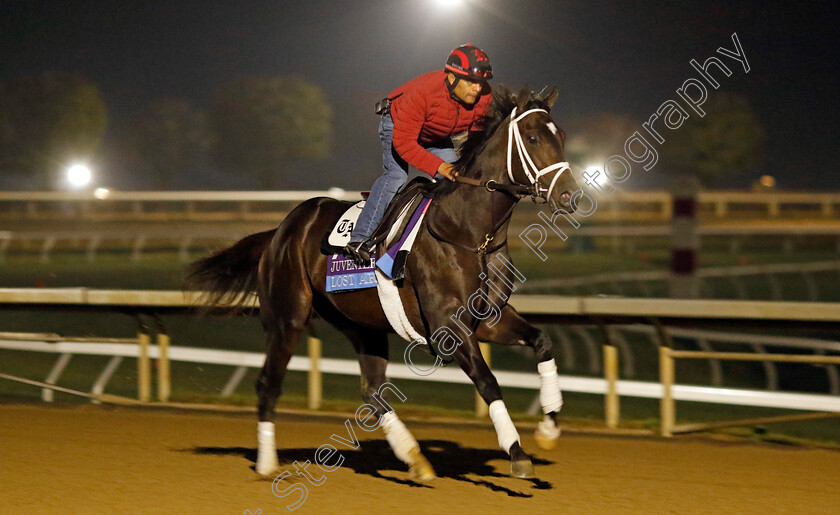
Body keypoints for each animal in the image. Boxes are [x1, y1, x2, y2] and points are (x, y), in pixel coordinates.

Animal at [185, 87, 576, 480]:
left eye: (561, 135)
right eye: (533, 138)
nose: (569, 196)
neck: (467, 232)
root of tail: (278, 232)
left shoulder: (488, 318)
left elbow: (542, 342)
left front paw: (549, 429)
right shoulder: (447, 327)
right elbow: (488, 382)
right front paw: (517, 452)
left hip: (362, 325)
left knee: (372, 392)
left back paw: (415, 458)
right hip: (287, 318)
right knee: (269, 382)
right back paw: (267, 462)